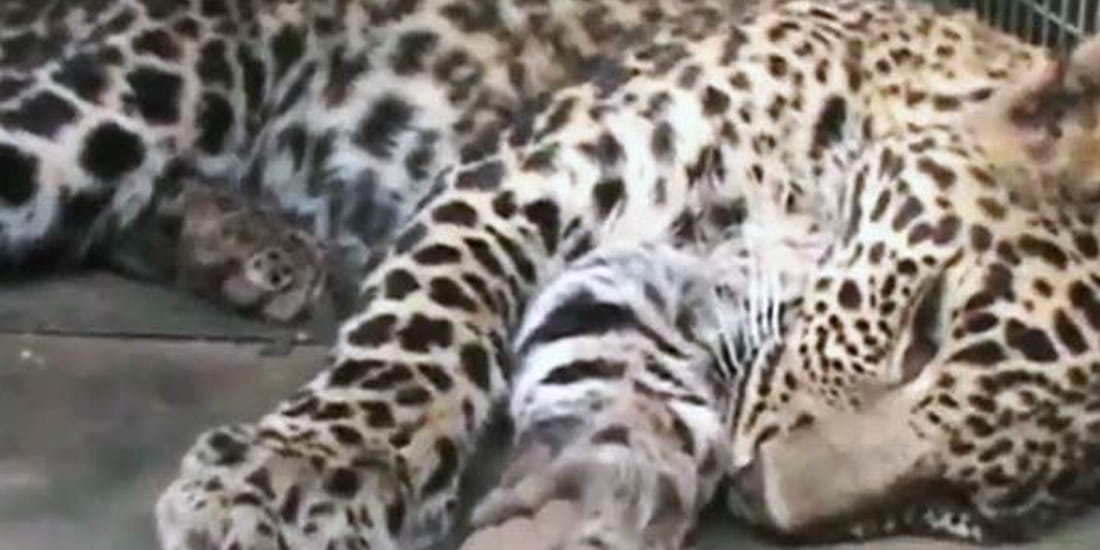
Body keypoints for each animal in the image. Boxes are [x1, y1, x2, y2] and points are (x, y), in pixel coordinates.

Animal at [154, 1, 1100, 550]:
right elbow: (418, 332)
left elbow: (610, 367)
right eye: (924, 327)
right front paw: (306, 472)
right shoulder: (523, 177)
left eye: (961, 503)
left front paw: (581, 503)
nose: (757, 497)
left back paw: (237, 246)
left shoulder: (625, 271)